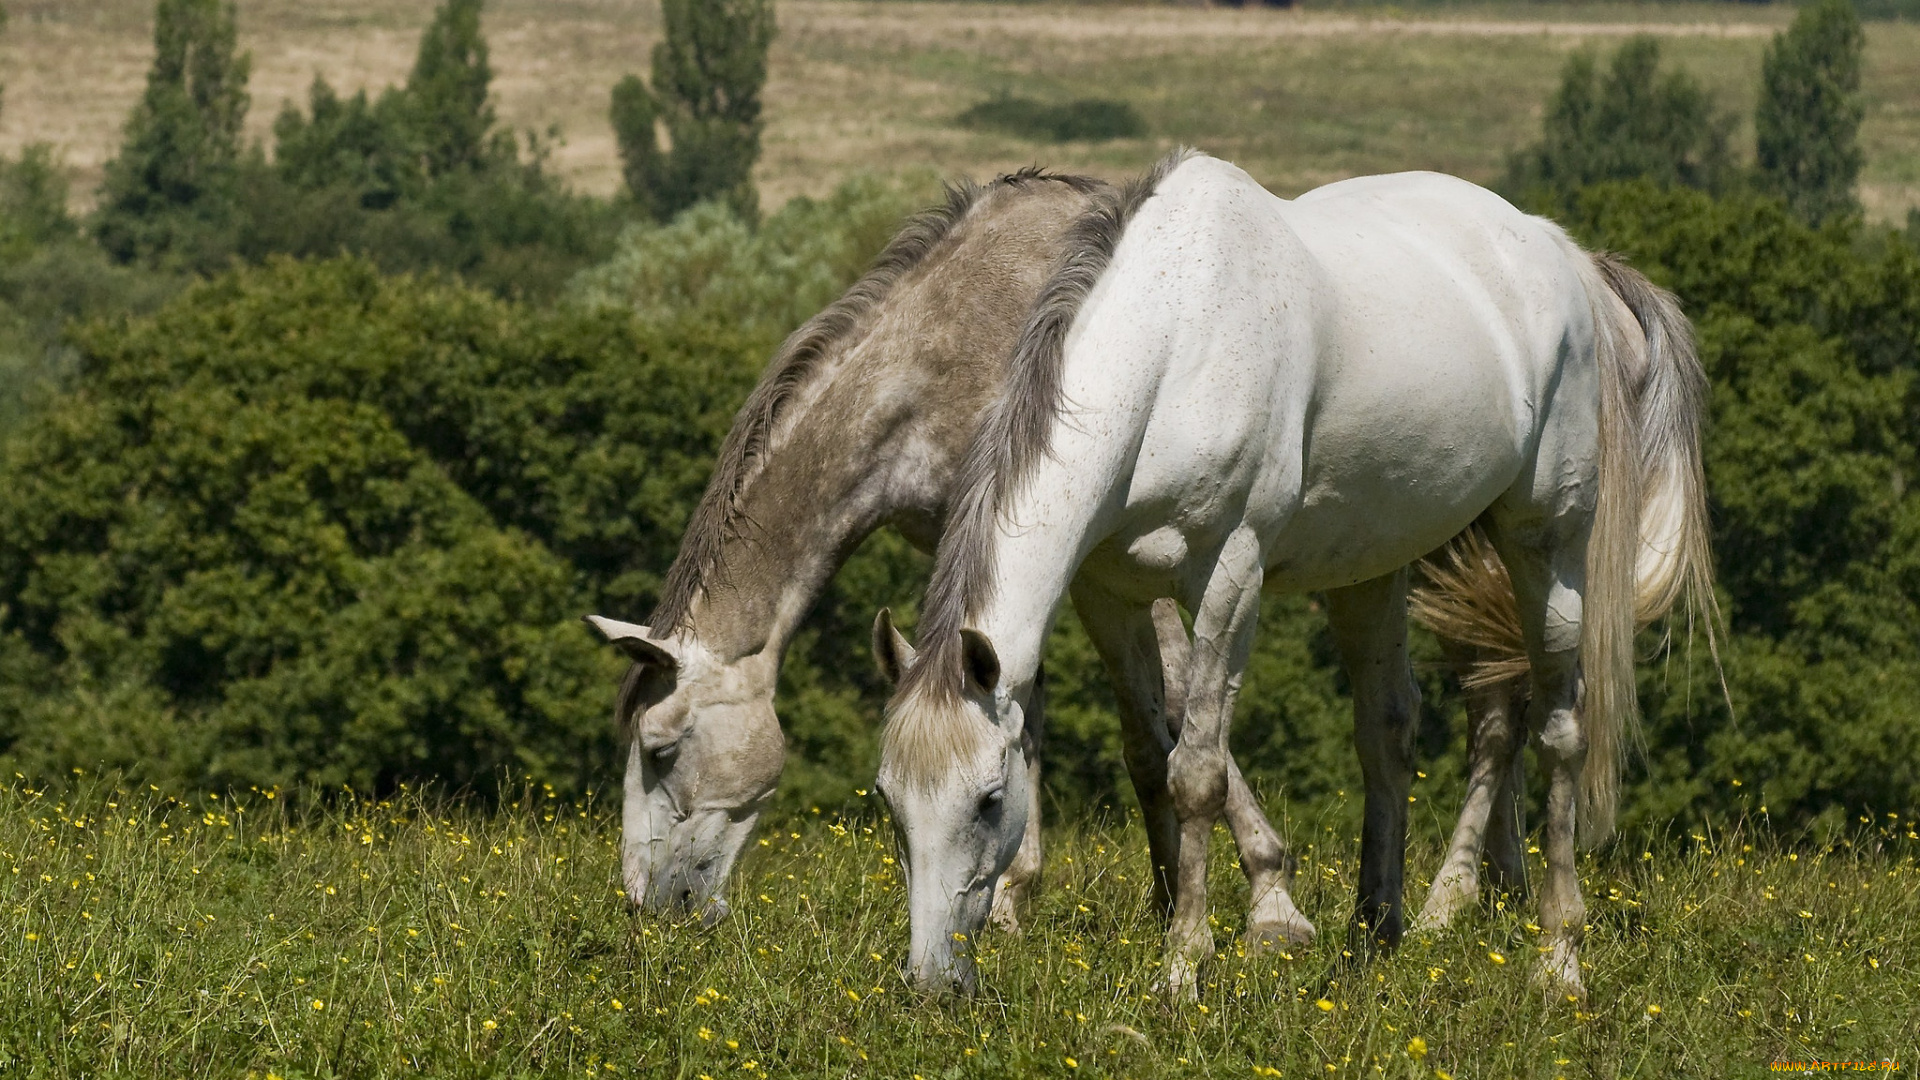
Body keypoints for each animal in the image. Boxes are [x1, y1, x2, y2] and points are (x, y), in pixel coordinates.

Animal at [576, 166, 1313, 941]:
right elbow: (1013, 706)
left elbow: (1169, 700)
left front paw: (1270, 899)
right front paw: (1014, 896)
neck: (940, 360)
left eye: (660, 750)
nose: (644, 903)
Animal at [871, 147, 1712, 999]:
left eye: (990, 801)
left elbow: (1196, 771)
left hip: (1547, 538)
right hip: (1372, 567)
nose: (932, 981)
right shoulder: (1108, 594)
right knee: (1388, 730)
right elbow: (1151, 750)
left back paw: (1557, 959)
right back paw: (1376, 938)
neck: (1175, 351)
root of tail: (1566, 255)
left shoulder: (1230, 578)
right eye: (891, 802)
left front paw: (1184, 966)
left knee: (1560, 732)